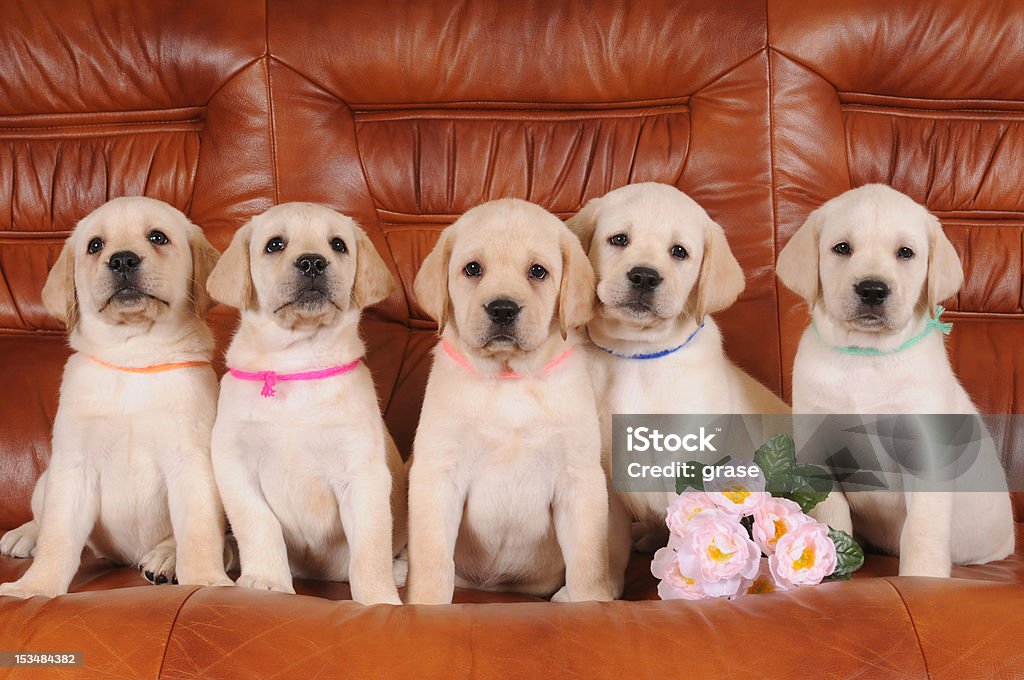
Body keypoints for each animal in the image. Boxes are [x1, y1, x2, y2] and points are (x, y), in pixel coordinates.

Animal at [0, 195, 232, 593]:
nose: (122, 259)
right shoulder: (74, 464)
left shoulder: (192, 462)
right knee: (42, 515)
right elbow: (57, 535)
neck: (133, 355)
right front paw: (36, 588)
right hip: (47, 477)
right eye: (95, 245)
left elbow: (198, 532)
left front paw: (205, 581)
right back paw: (25, 534)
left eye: (158, 237)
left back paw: (166, 558)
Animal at [205, 201, 405, 606]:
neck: (296, 363)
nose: (312, 262)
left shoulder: (363, 472)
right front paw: (266, 581)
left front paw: (379, 599)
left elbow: (371, 546)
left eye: (338, 245)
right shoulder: (233, 463)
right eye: (275, 244)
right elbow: (257, 523)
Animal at [407, 199, 614, 602]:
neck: (509, 380)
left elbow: (588, 564)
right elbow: (431, 560)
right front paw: (424, 604)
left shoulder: (579, 478)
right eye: (473, 269)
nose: (502, 309)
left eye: (537, 271)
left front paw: (591, 603)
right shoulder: (437, 474)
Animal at [565, 183, 786, 540]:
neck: (637, 355)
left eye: (679, 252)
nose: (644, 276)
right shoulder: (605, 480)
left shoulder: (685, 466)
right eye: (619, 239)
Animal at [778, 183, 1011, 577]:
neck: (866, 358)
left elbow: (921, 528)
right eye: (842, 248)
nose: (872, 289)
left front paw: (923, 579)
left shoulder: (926, 455)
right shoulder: (817, 452)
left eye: (905, 253)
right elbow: (830, 513)